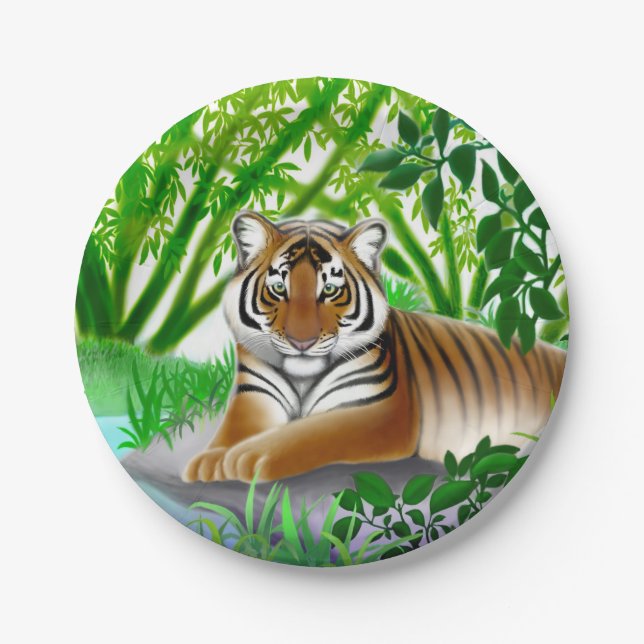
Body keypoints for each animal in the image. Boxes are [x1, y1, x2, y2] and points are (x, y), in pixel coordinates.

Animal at [183, 210, 566, 483]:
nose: (301, 341)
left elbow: (309, 433)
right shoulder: (255, 397)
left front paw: (245, 458)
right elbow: (234, 431)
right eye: (279, 288)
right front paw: (209, 461)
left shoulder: (376, 412)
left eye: (330, 290)